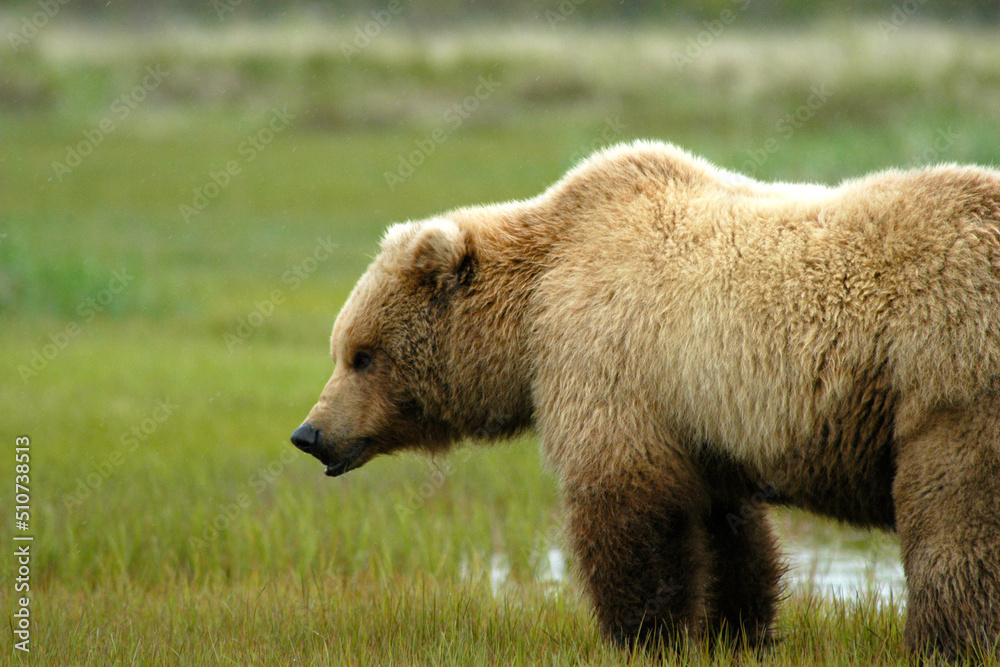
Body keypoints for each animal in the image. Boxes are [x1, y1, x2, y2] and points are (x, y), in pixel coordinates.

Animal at [291, 140, 1000, 661]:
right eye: (341, 348)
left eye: (361, 354)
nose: (309, 433)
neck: (534, 304)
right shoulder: (701, 412)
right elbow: (729, 531)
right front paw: (736, 631)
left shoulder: (610, 357)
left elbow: (627, 502)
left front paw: (643, 636)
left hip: (946, 378)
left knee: (953, 526)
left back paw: (947, 643)